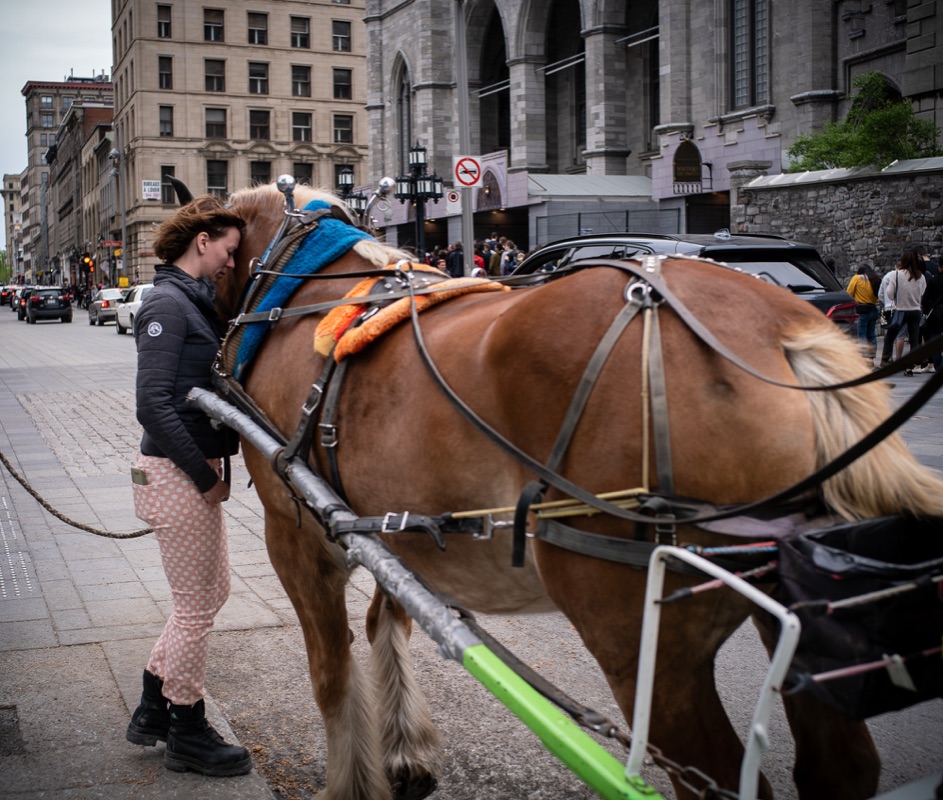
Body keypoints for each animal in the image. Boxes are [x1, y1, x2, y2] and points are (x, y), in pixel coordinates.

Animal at [216, 183, 943, 800]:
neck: (299, 293)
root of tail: (778, 336)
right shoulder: (388, 525)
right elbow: (387, 621)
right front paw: (405, 754)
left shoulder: (295, 532)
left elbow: (331, 672)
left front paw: (355, 780)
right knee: (839, 769)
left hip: (640, 635)